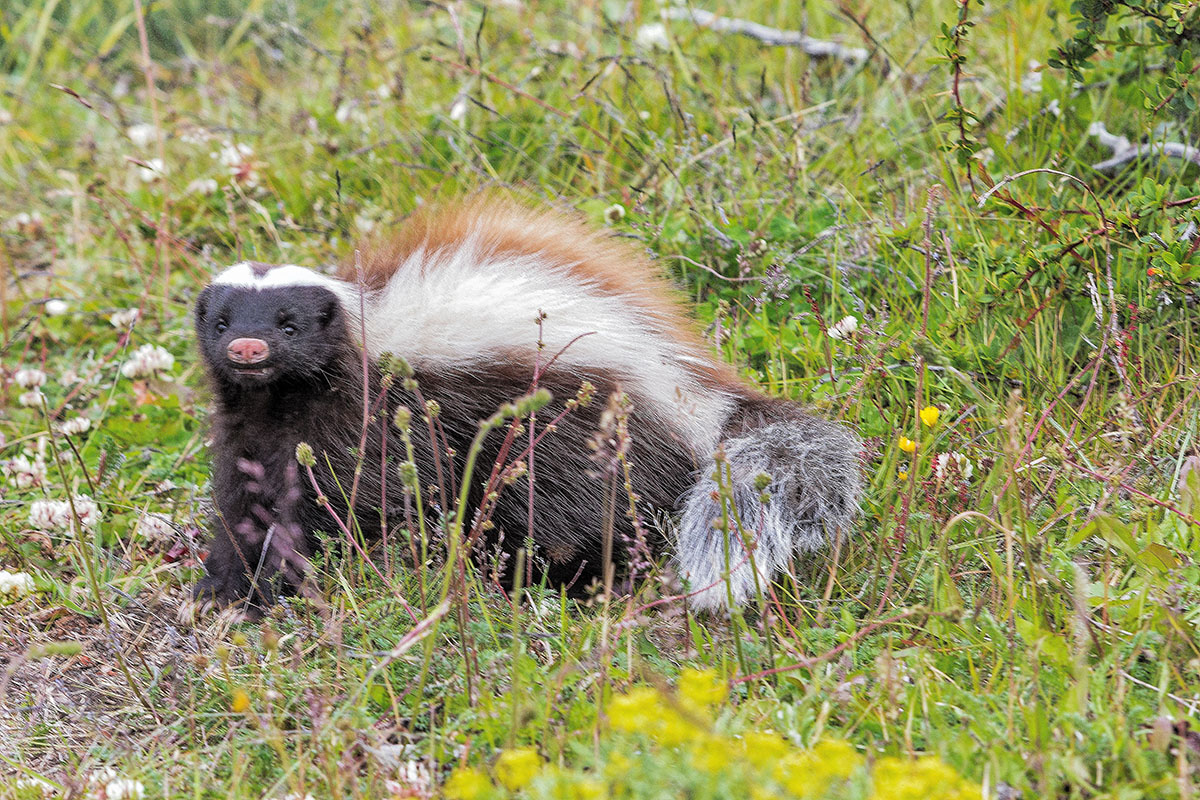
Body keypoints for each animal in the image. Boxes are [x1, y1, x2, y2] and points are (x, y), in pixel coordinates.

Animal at [192, 199, 859, 614]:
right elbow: (242, 501)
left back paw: (550, 583)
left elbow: (347, 499)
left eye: (288, 324)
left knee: (574, 519)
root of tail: (698, 395)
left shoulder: (364, 417)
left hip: (574, 437)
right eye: (222, 321)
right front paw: (222, 586)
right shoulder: (251, 431)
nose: (247, 347)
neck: (279, 401)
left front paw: (275, 581)